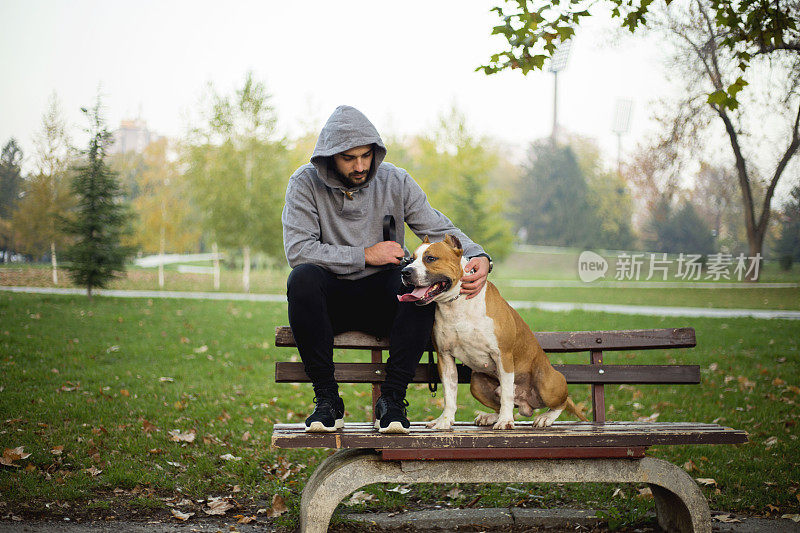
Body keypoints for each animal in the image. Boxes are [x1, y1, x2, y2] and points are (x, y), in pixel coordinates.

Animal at [400, 235, 588, 430]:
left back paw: (545, 418)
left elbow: (506, 394)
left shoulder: (503, 356)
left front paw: (505, 421)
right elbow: (449, 394)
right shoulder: (445, 358)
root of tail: (526, 403)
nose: (405, 272)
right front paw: (445, 421)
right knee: (501, 403)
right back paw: (490, 417)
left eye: (431, 258)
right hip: (476, 384)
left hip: (547, 383)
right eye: (410, 259)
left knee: (562, 402)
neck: (456, 304)